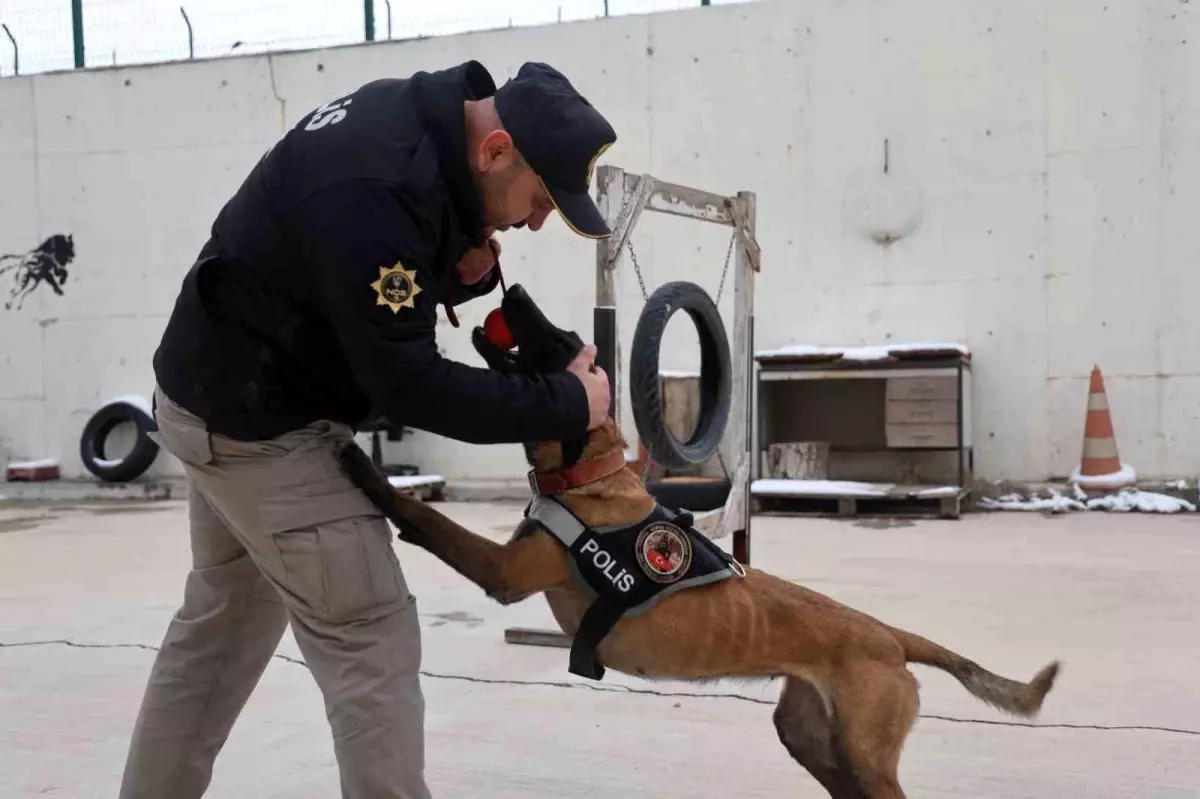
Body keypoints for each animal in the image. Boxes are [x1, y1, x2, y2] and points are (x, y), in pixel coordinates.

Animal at [333, 286, 1056, 796]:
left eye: (561, 339)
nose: (510, 292)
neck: (592, 476)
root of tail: (891, 636)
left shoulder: (505, 569)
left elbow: (427, 519)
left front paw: (366, 469)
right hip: (811, 738)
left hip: (865, 754)